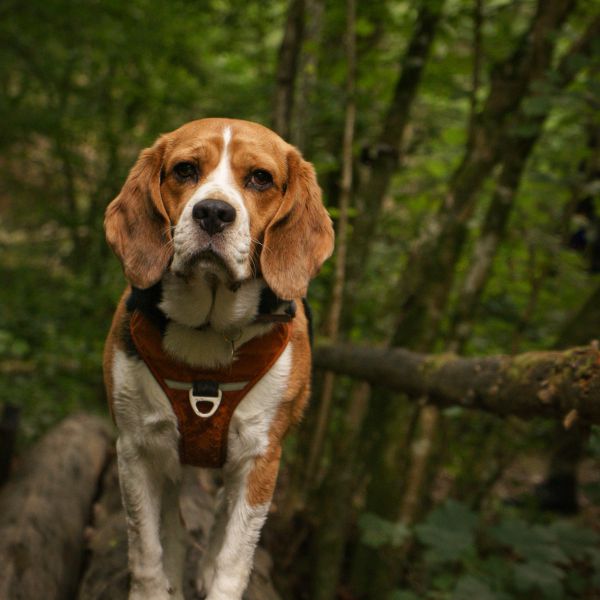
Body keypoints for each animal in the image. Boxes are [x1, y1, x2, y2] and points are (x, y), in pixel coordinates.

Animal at [103, 118, 336, 600]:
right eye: (185, 170)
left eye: (261, 178)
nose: (213, 212)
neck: (207, 332)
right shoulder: (135, 447)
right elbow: (147, 549)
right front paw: (157, 585)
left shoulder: (260, 458)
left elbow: (234, 556)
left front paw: (217, 573)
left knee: (222, 515)